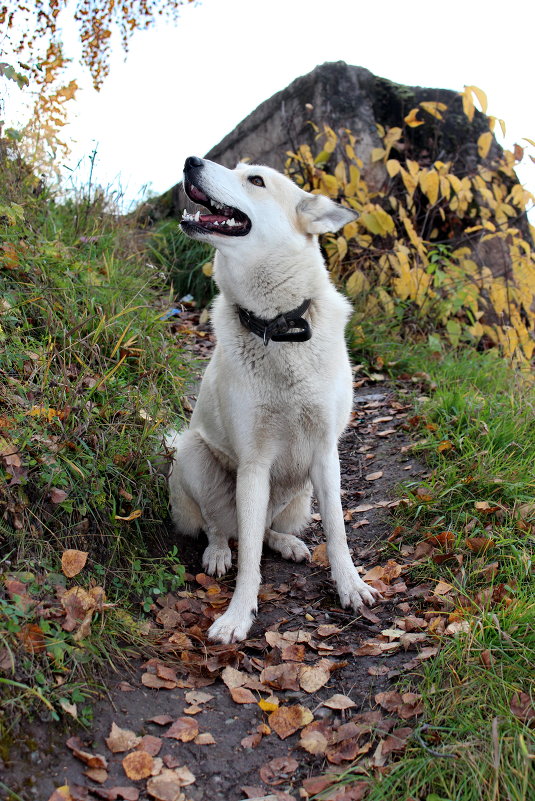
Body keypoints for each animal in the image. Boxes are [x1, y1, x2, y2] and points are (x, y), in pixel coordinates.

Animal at [169, 156, 382, 644]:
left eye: (255, 179)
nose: (191, 160)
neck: (276, 327)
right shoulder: (253, 465)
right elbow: (249, 557)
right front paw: (238, 615)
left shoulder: (325, 453)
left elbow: (338, 531)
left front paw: (350, 586)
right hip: (193, 455)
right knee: (221, 527)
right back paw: (217, 553)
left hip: (300, 496)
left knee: (265, 529)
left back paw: (288, 543)